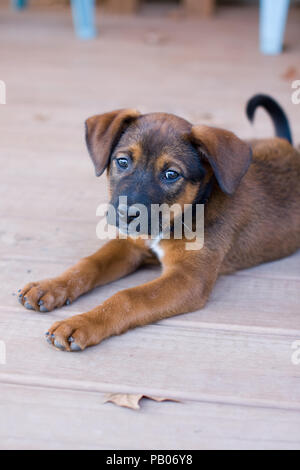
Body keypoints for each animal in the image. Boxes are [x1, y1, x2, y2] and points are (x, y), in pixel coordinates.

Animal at [17, 96, 298, 352]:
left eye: (171, 174)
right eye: (122, 161)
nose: (126, 213)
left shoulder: (188, 279)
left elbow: (127, 296)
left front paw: (82, 323)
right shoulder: (130, 245)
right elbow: (89, 264)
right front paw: (50, 286)